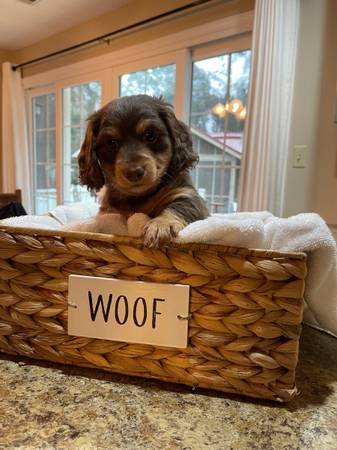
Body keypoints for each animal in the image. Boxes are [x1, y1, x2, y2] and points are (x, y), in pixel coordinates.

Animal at [77, 94, 207, 246]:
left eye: (150, 136)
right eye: (111, 143)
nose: (133, 172)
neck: (140, 196)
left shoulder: (187, 194)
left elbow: (179, 207)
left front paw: (161, 225)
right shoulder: (109, 211)